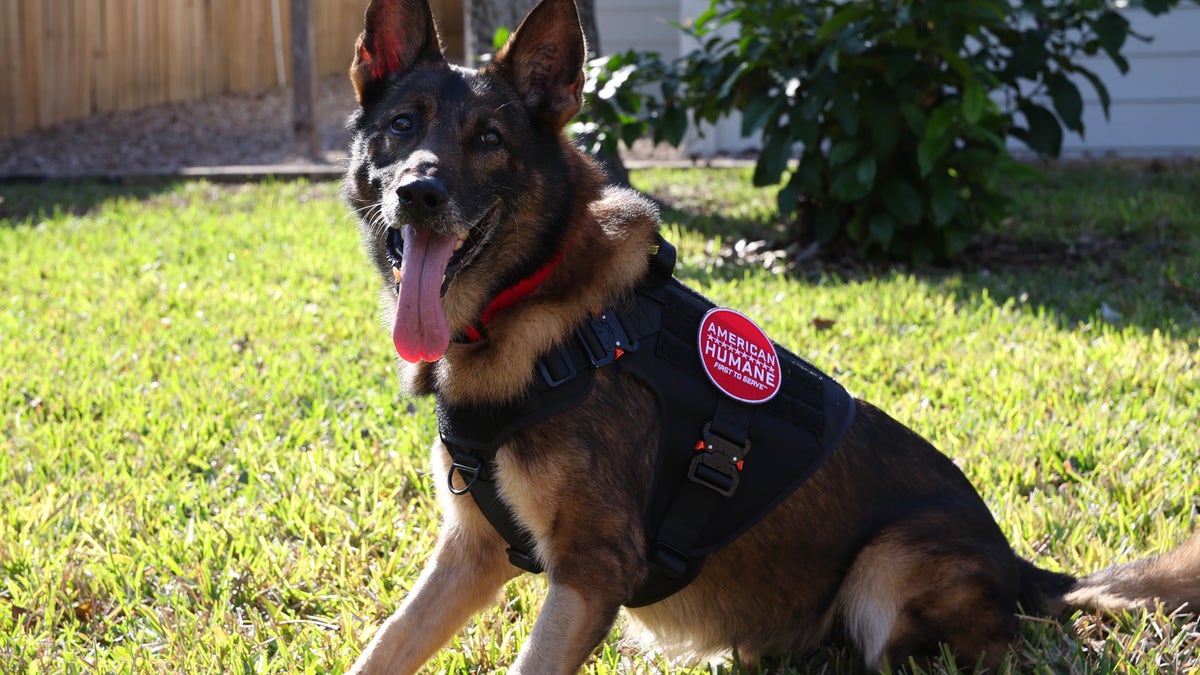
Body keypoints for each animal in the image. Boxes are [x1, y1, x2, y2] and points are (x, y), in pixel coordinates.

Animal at [340, 0, 1200, 667]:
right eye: (401, 126)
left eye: (489, 139)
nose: (420, 194)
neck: (535, 299)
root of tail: (1025, 569)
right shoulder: (471, 552)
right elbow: (385, 645)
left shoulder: (590, 569)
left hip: (888, 568)